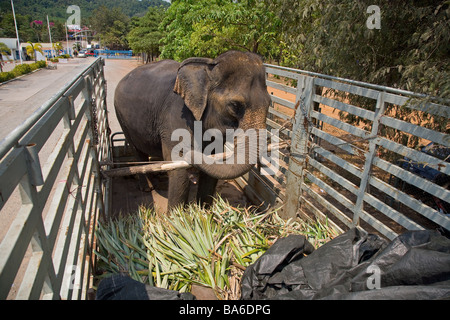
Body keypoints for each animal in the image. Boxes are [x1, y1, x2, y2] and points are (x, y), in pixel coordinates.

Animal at [114, 50, 272, 210]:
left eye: (270, 103)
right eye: (235, 105)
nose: (190, 154)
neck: (207, 69)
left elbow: (212, 165)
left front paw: (206, 212)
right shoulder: (176, 115)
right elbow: (179, 171)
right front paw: (176, 215)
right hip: (122, 118)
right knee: (138, 151)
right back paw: (147, 188)